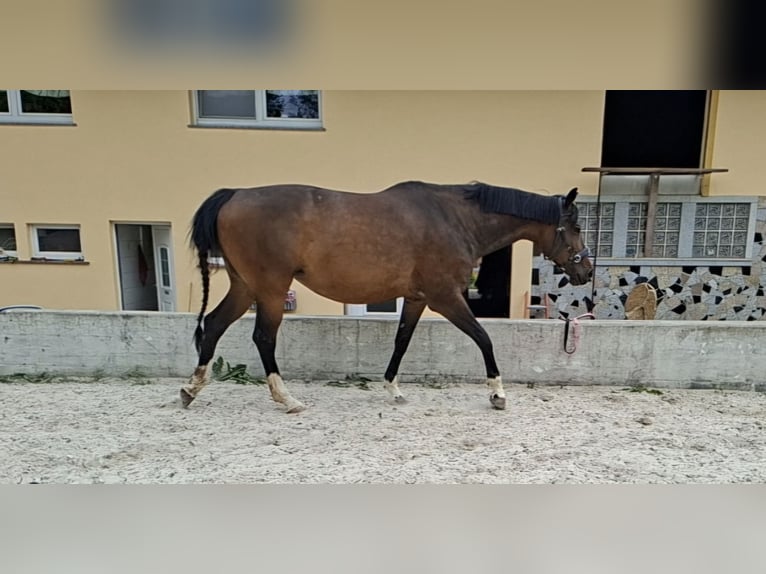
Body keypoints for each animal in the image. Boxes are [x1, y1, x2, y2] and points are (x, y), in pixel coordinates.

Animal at [183, 180, 592, 413]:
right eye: (574, 226)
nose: (586, 271)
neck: (455, 218)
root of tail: (234, 196)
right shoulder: (445, 297)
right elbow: (483, 338)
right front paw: (497, 394)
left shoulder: (417, 298)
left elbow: (402, 341)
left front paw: (393, 389)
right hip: (269, 289)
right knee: (264, 337)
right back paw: (288, 400)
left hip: (245, 286)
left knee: (214, 324)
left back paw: (191, 389)